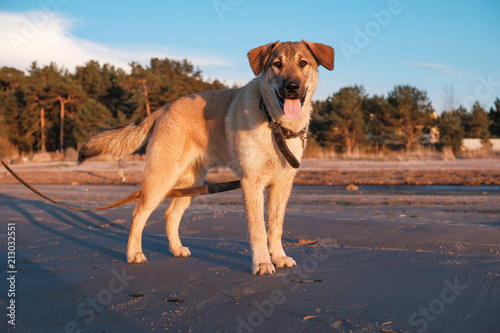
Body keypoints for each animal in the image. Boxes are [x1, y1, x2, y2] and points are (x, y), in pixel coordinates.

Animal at [78, 40, 334, 274]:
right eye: (277, 64)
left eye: (303, 63)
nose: (292, 87)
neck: (276, 125)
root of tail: (164, 109)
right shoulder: (252, 183)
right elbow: (258, 230)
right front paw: (262, 263)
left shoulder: (282, 184)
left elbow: (275, 225)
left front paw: (278, 257)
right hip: (161, 180)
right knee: (138, 214)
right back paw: (135, 253)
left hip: (192, 183)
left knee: (171, 215)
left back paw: (176, 248)